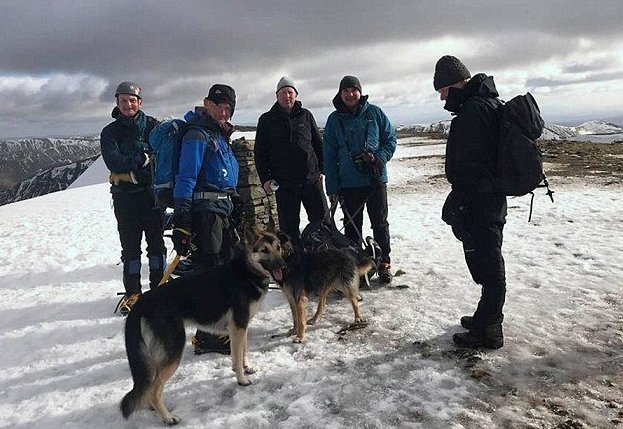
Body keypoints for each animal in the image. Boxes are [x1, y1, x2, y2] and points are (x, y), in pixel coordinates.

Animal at [120, 226, 286, 422]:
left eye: (278, 248)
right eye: (264, 250)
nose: (283, 265)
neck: (247, 272)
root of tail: (141, 303)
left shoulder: (241, 327)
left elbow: (242, 352)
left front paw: (247, 368)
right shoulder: (238, 326)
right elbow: (238, 355)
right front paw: (242, 379)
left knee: (150, 387)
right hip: (173, 352)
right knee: (154, 389)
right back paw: (168, 418)